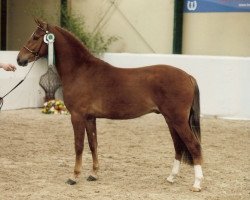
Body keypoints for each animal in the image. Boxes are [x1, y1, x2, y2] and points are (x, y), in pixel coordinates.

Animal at [16, 19, 203, 191]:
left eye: (35, 37)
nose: (20, 59)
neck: (80, 71)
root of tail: (188, 76)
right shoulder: (90, 118)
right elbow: (93, 144)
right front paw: (93, 174)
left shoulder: (77, 116)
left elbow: (79, 146)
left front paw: (74, 177)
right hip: (170, 120)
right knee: (178, 146)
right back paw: (171, 177)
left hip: (177, 120)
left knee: (193, 146)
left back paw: (197, 184)